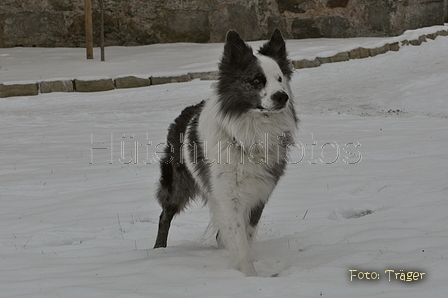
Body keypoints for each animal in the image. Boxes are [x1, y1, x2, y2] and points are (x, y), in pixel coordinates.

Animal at [153, 29, 298, 276]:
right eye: (256, 80)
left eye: (280, 79)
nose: (282, 96)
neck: (250, 132)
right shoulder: (228, 195)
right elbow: (239, 238)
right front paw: (249, 275)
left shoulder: (259, 193)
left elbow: (246, 235)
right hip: (177, 183)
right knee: (165, 215)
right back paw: (158, 250)